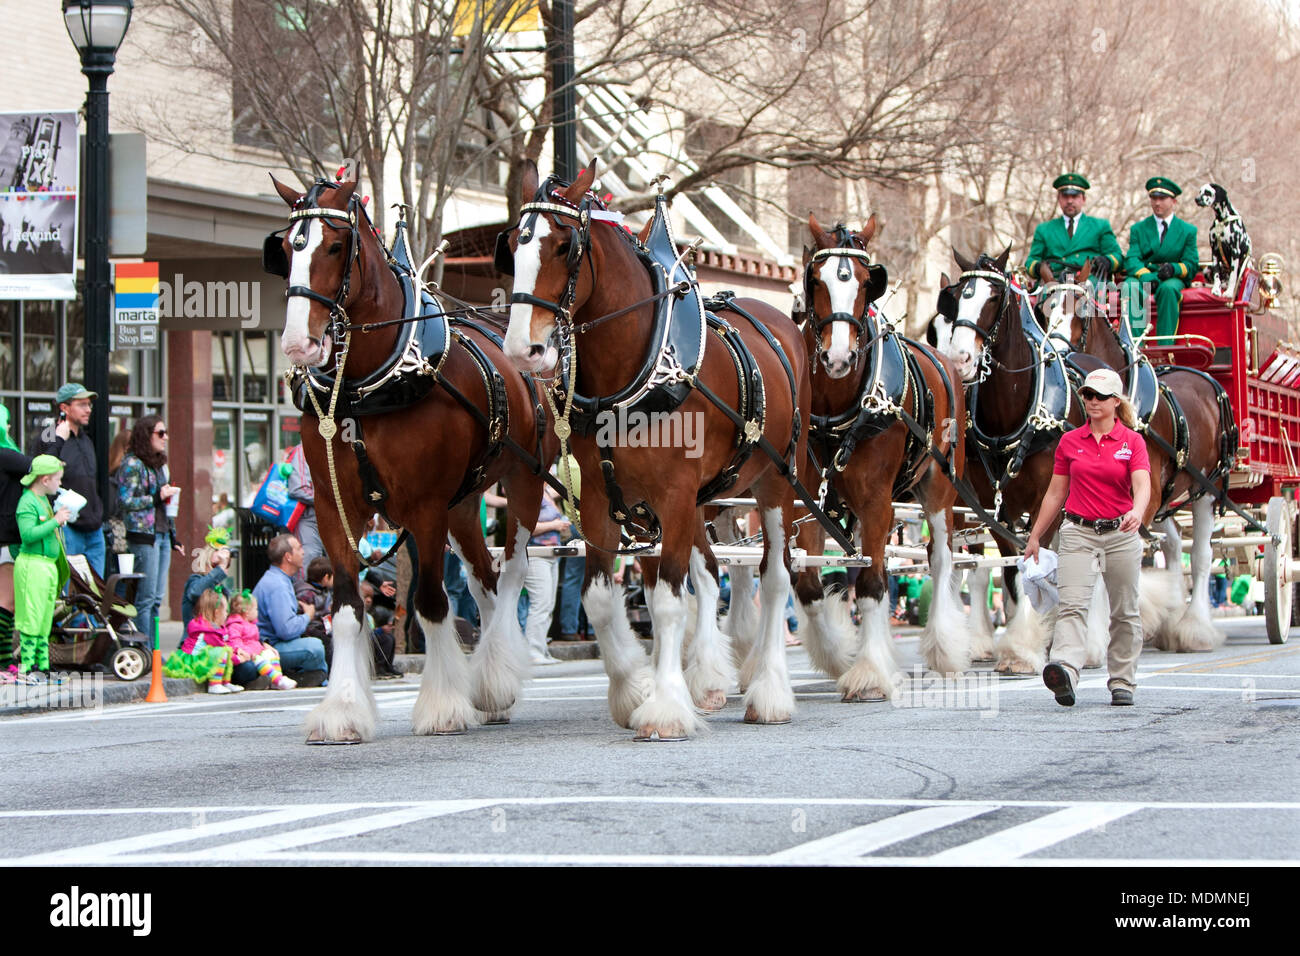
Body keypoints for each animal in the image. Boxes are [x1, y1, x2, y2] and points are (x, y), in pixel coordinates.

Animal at [266, 180, 556, 749]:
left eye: (335, 246)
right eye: (287, 248)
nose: (298, 344)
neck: (369, 384)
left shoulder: (424, 506)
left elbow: (429, 601)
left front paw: (443, 706)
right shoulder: (334, 507)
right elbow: (348, 607)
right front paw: (343, 710)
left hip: (524, 484)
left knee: (511, 573)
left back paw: (492, 681)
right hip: (465, 503)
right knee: (483, 581)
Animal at [499, 162, 811, 738]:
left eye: (565, 246)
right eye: (512, 245)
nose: (520, 349)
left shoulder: (673, 493)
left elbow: (666, 603)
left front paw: (665, 706)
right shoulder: (605, 499)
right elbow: (603, 599)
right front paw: (633, 690)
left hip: (775, 482)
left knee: (776, 578)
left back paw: (769, 692)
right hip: (701, 503)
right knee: (709, 576)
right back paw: (708, 679)